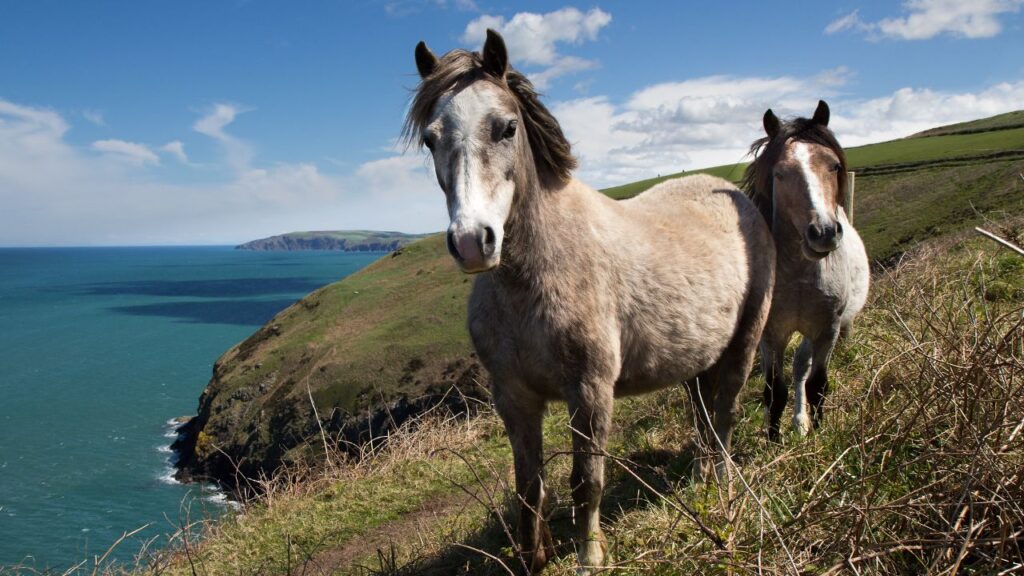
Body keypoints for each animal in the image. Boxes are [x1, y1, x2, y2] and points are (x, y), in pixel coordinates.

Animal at [406, 30, 775, 574]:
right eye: (431, 139)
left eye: (506, 127)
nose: (473, 241)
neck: (530, 281)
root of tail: (734, 194)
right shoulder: (514, 397)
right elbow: (528, 487)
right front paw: (534, 559)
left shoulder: (590, 391)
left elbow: (586, 483)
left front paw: (590, 557)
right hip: (695, 360)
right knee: (704, 417)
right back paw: (701, 481)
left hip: (743, 346)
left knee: (724, 417)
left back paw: (725, 489)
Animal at [742, 101, 870, 441]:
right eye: (780, 174)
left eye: (834, 166)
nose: (823, 233)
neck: (800, 275)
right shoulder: (773, 333)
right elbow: (775, 391)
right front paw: (773, 439)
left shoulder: (827, 329)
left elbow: (817, 384)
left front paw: (821, 431)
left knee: (801, 366)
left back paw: (801, 421)